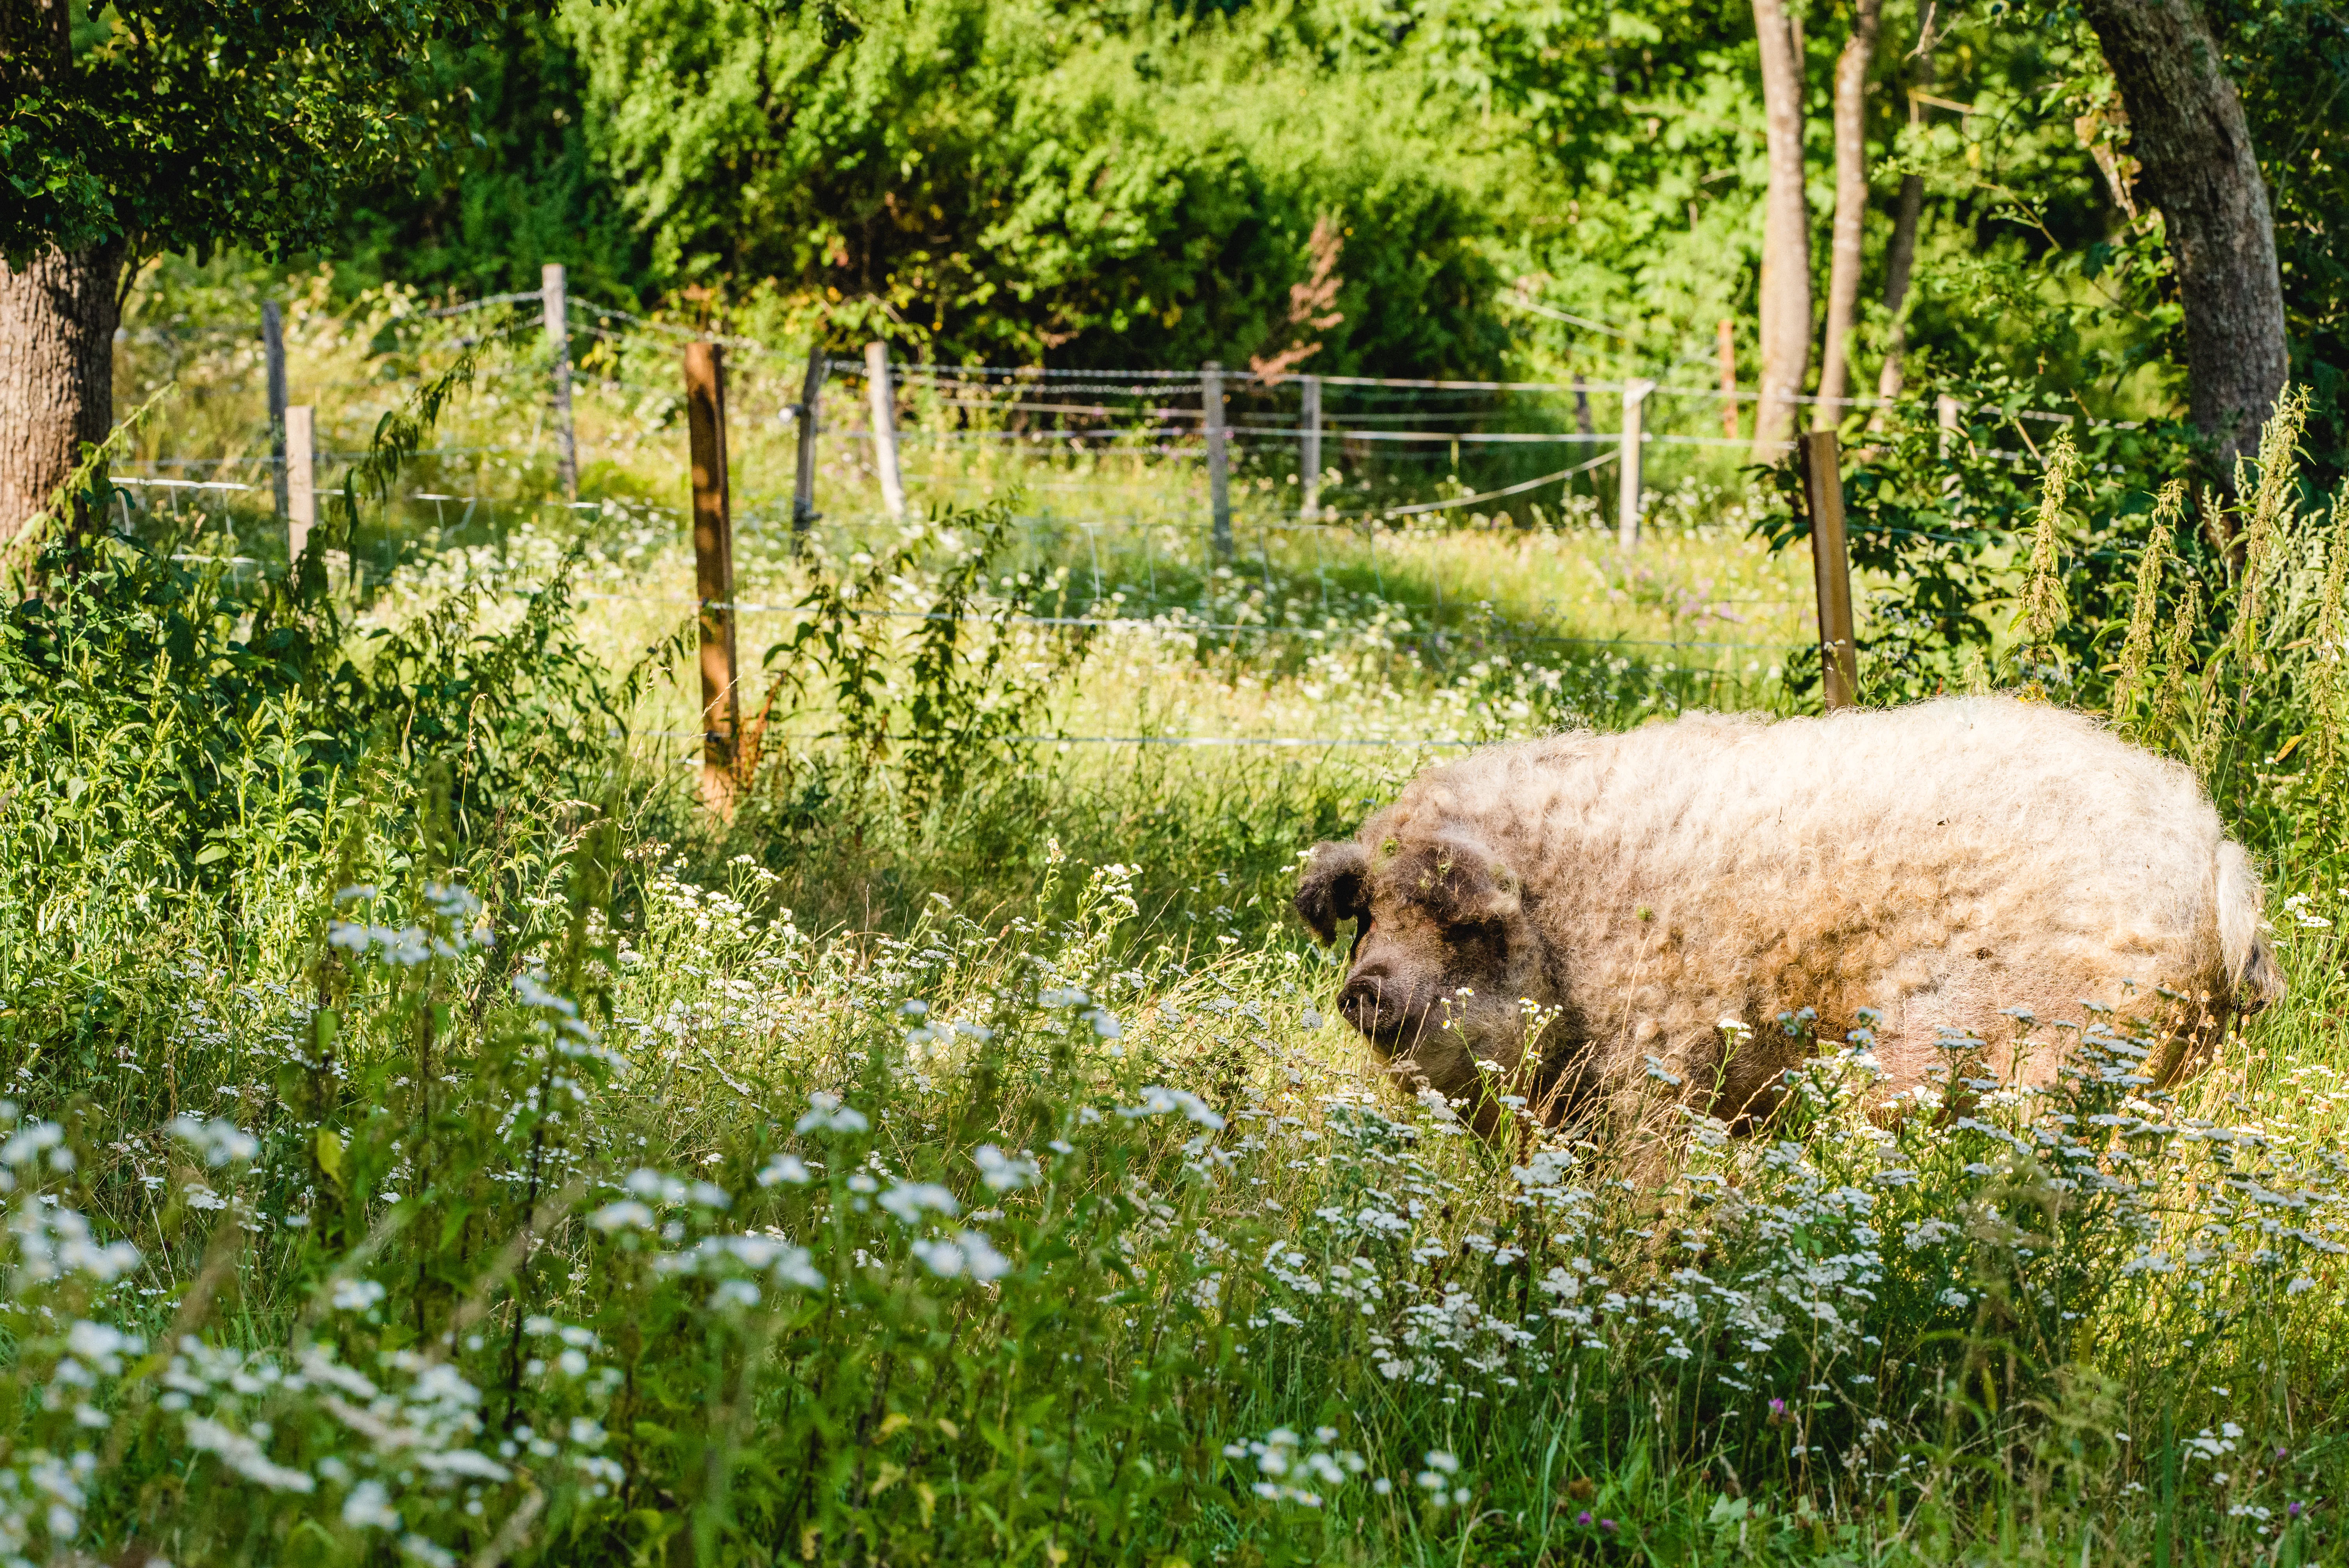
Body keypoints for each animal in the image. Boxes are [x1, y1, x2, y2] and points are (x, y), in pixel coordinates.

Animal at [1294, 696, 2282, 1137]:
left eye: (1452, 920)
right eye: (1367, 913)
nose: (1363, 990)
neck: (1565, 924)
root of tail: (2214, 860)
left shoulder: (1658, 1061)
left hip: (2055, 1059)